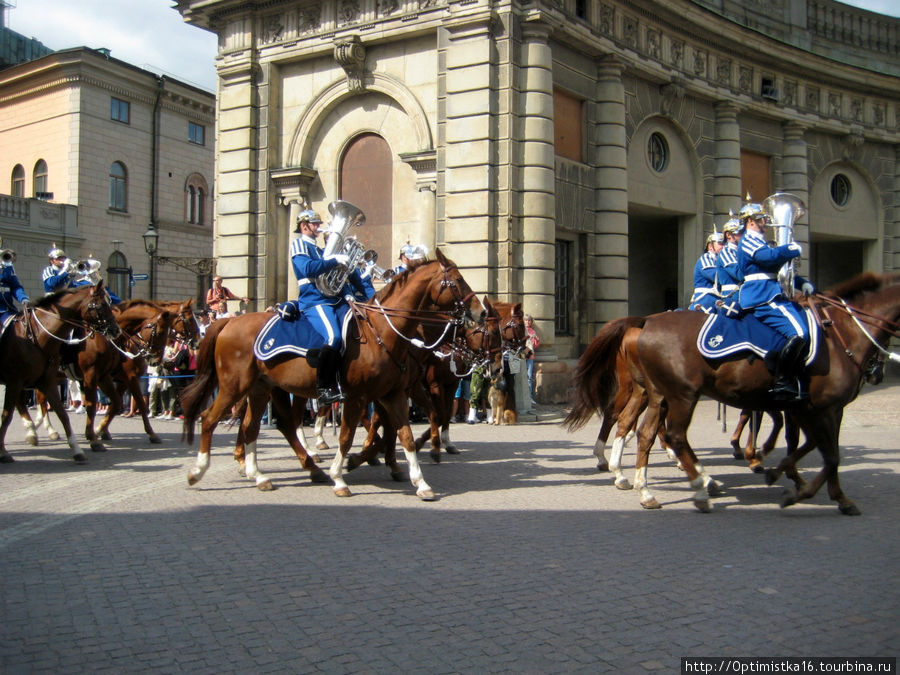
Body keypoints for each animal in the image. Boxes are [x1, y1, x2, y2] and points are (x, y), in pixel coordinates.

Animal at [0, 286, 119, 464]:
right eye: (100, 305)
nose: (115, 330)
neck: (37, 335)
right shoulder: (90, 376)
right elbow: (7, 415)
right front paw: (93, 438)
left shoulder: (99, 377)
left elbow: (64, 413)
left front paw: (82, 445)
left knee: (35, 402)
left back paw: (37, 430)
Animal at [178, 251, 482, 500]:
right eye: (457, 280)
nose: (479, 312)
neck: (382, 333)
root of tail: (228, 322)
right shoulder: (358, 397)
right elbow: (348, 435)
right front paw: (341, 476)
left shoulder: (393, 394)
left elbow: (404, 434)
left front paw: (420, 482)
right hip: (234, 386)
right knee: (210, 419)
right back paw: (198, 471)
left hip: (260, 389)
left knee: (252, 426)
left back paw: (260, 475)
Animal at [568, 272, 900, 516]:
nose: (877, 373)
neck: (840, 334)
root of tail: (645, 321)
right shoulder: (817, 407)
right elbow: (826, 452)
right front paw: (786, 478)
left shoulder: (813, 407)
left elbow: (814, 446)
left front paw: (820, 488)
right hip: (678, 395)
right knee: (662, 432)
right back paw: (693, 486)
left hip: (658, 394)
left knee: (642, 430)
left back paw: (644, 484)